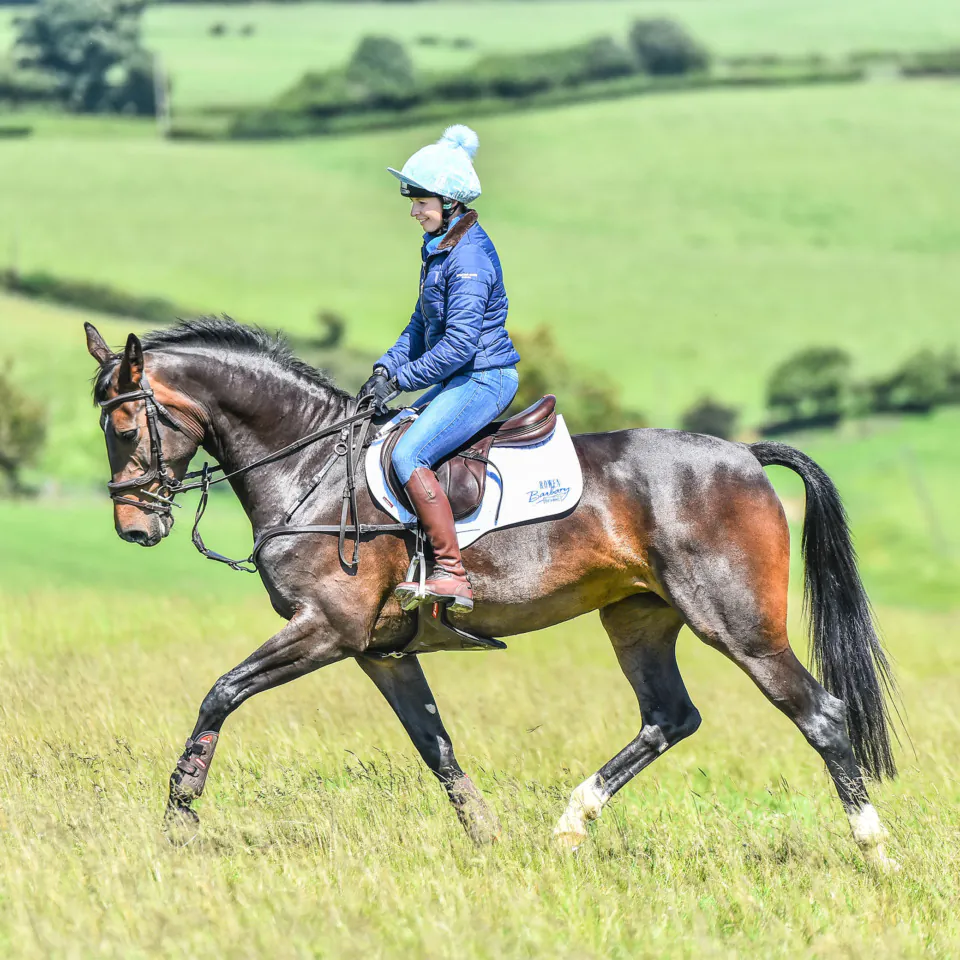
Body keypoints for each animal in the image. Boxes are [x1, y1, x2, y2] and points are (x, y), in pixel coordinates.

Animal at [85, 317, 900, 869]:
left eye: (124, 425)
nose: (133, 527)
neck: (311, 468)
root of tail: (743, 455)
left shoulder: (327, 630)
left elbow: (220, 693)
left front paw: (180, 812)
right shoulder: (380, 652)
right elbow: (433, 742)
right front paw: (485, 833)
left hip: (737, 625)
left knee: (820, 714)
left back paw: (877, 850)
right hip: (637, 618)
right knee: (669, 716)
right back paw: (571, 823)